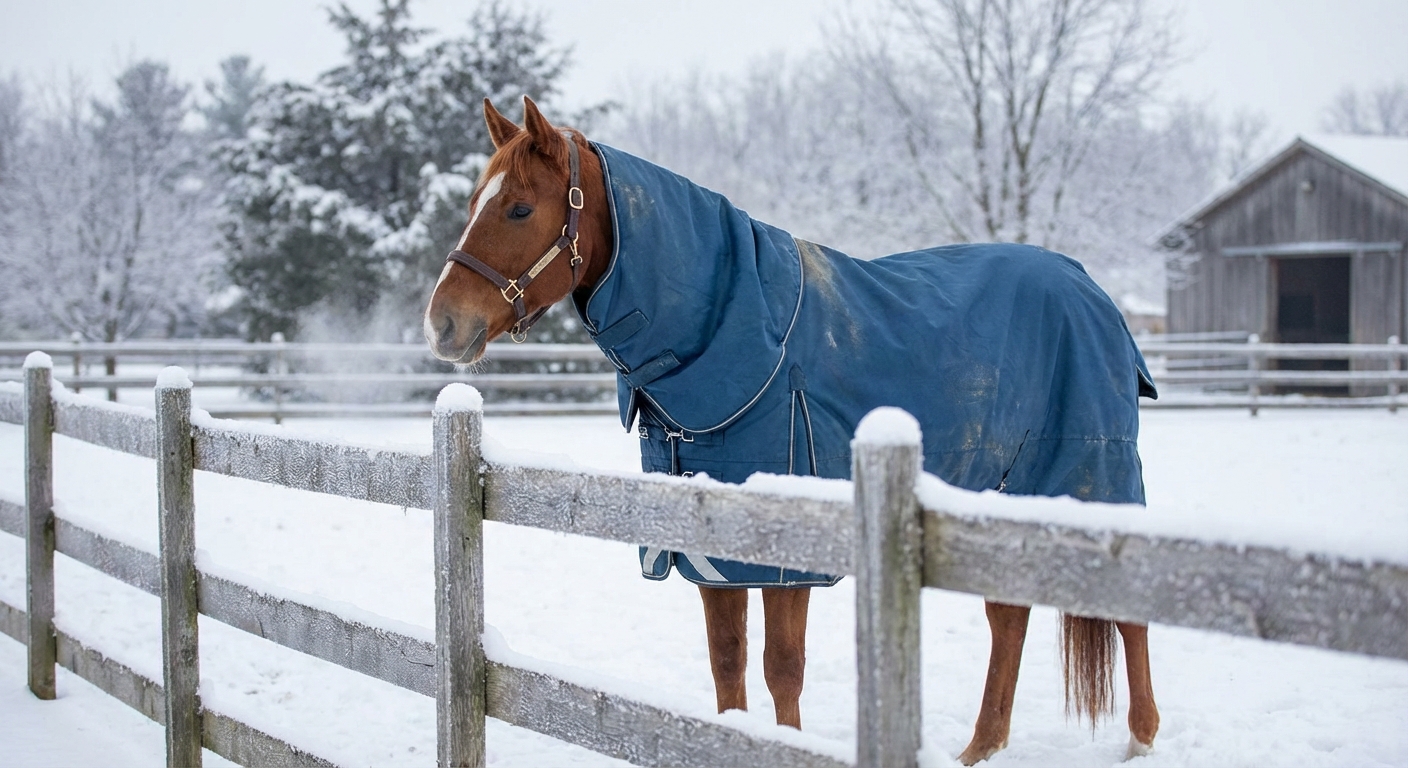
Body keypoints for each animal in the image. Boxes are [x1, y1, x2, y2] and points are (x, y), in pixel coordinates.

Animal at [424, 96, 1161, 764]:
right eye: (475, 202)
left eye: (520, 208)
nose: (443, 324)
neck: (742, 336)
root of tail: (1090, 288)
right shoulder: (712, 554)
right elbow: (727, 661)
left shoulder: (788, 554)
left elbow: (782, 667)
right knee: (1008, 616)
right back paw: (982, 747)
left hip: (1092, 480)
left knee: (1126, 615)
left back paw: (1141, 739)